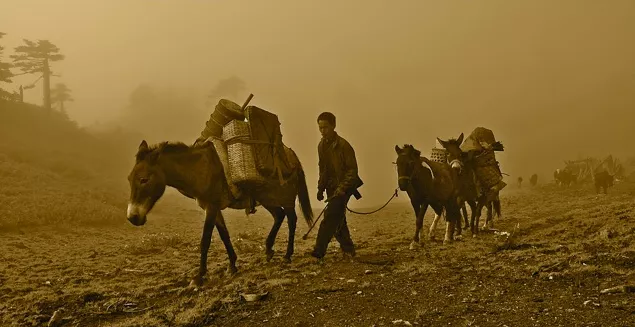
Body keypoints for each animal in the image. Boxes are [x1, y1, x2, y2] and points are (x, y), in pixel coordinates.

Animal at [126, 140, 314, 288]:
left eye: (144, 179)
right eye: (129, 179)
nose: (133, 217)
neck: (199, 169)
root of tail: (292, 156)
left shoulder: (211, 207)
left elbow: (205, 240)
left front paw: (199, 276)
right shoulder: (212, 208)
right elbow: (224, 235)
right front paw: (232, 265)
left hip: (286, 198)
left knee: (291, 219)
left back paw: (288, 255)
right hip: (267, 198)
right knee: (279, 216)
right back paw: (268, 250)